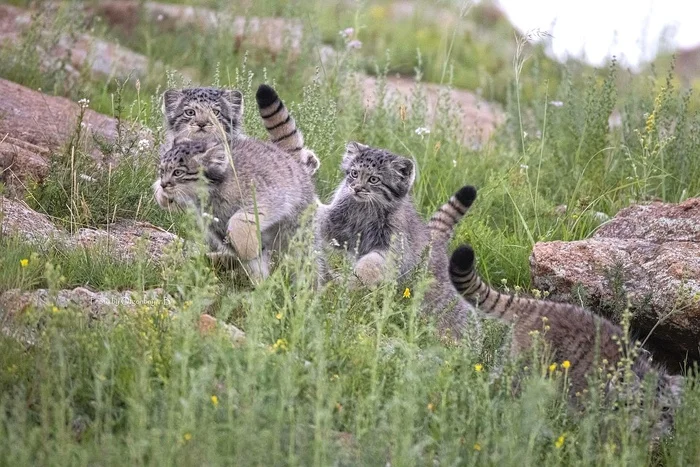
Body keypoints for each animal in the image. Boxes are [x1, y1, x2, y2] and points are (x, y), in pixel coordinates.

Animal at [157, 136, 316, 282]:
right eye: (162, 171)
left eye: (178, 172)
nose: (163, 185)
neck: (216, 189)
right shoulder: (217, 223)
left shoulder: (272, 197)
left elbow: (239, 220)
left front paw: (248, 249)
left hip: (298, 228)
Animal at [318, 141, 482, 342]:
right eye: (354, 173)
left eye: (374, 179)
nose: (356, 188)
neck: (366, 208)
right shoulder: (337, 226)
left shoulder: (393, 249)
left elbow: (370, 264)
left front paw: (354, 281)